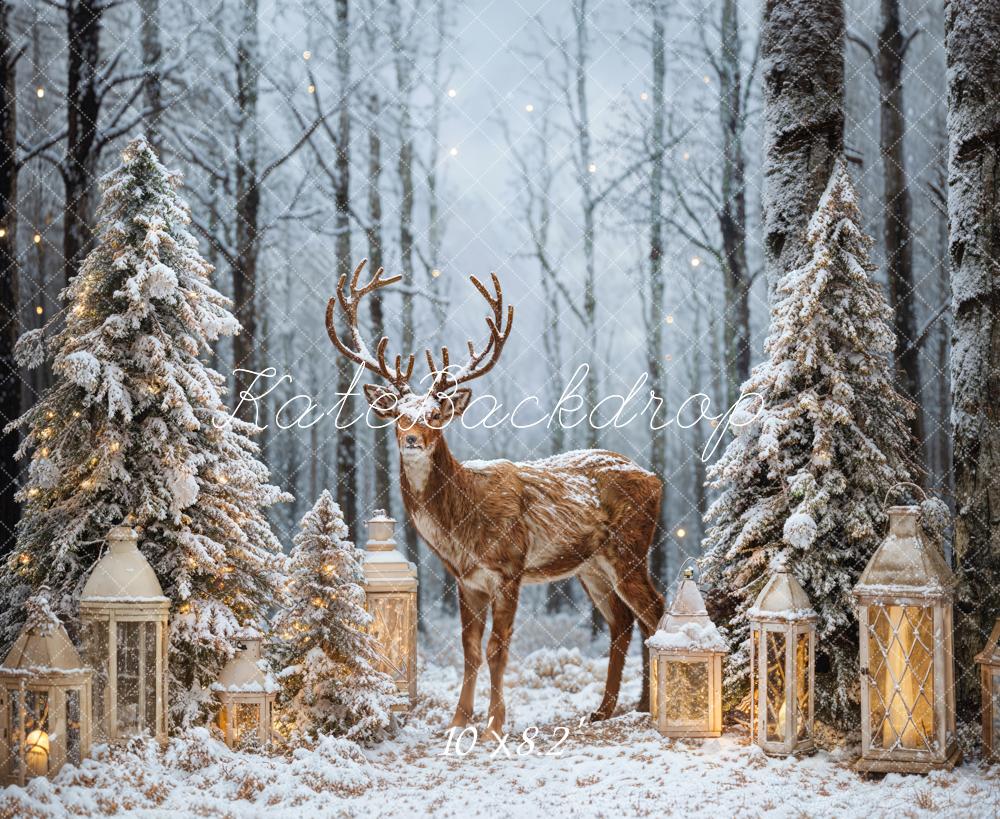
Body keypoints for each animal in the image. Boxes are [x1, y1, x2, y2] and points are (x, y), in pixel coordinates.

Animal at [328, 260, 664, 732]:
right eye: (397, 415)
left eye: (435, 414)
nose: (412, 439)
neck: (462, 526)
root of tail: (654, 479)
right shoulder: (465, 580)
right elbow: (469, 649)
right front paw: (458, 720)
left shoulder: (509, 567)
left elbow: (497, 649)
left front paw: (493, 725)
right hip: (592, 565)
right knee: (623, 621)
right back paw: (614, 708)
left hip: (630, 545)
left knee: (655, 610)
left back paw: (650, 707)